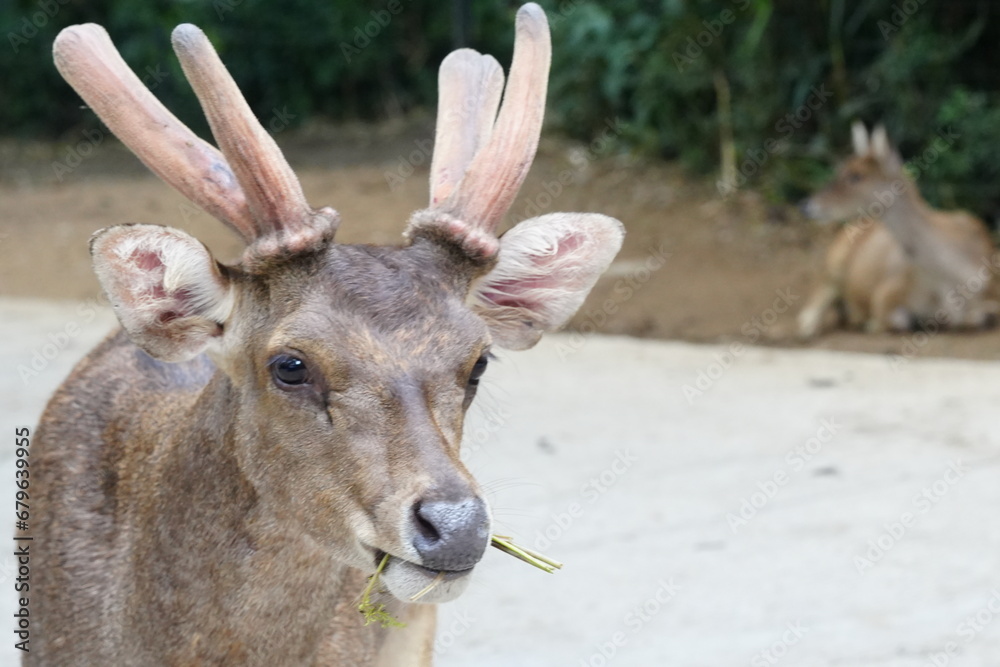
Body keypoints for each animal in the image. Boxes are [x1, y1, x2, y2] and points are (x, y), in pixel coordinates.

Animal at [796, 121, 992, 340]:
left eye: (856, 175)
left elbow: (977, 318)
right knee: (810, 310)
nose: (806, 205)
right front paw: (870, 323)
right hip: (832, 266)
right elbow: (894, 321)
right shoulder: (886, 294)